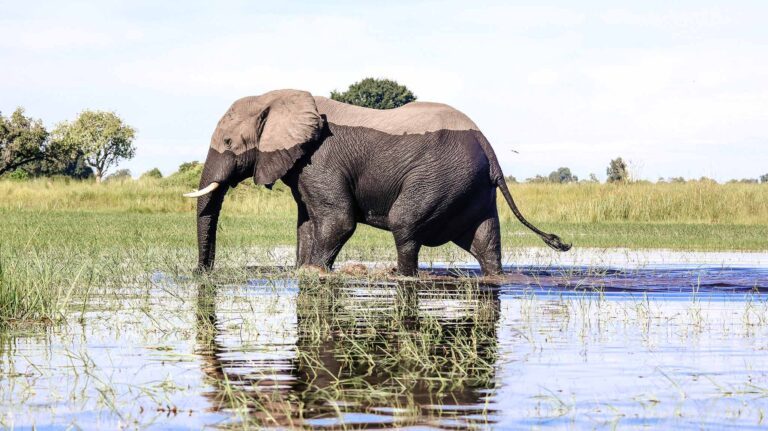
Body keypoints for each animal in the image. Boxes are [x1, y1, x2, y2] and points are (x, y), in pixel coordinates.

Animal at [185, 89, 570, 276]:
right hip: (471, 188)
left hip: (440, 177)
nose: (201, 273)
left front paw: (314, 272)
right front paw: (302, 270)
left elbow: (338, 221)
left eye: (230, 143)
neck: (279, 97)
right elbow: (307, 224)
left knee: (405, 225)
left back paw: (402, 276)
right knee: (485, 243)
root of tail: (489, 148)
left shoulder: (322, 160)